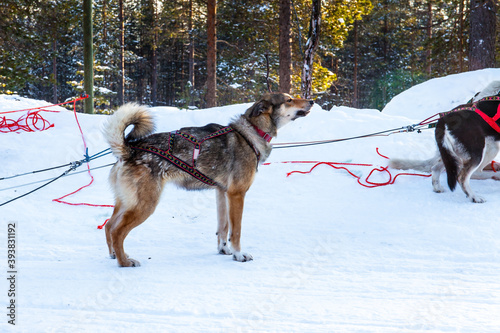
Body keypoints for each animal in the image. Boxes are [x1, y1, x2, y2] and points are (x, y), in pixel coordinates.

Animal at [102, 92, 312, 266]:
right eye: (289, 99)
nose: (311, 101)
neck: (250, 133)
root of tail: (129, 150)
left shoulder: (222, 193)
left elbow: (223, 228)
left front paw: (224, 250)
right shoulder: (237, 195)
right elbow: (236, 230)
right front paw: (239, 254)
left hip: (127, 203)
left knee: (109, 226)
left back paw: (116, 255)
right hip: (145, 205)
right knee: (118, 231)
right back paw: (124, 262)